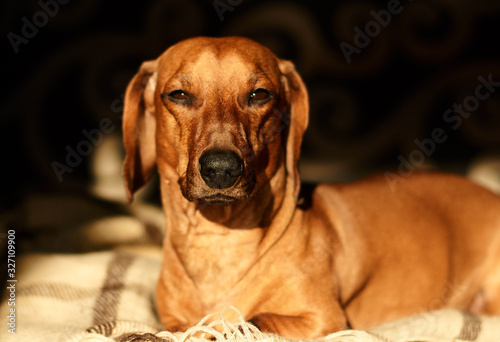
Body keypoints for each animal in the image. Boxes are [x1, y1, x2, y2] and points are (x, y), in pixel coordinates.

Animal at [122, 36, 500, 338]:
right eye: (179, 95)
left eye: (259, 94)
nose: (221, 170)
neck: (219, 240)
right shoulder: (171, 317)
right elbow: (182, 326)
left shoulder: (323, 319)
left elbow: (245, 319)